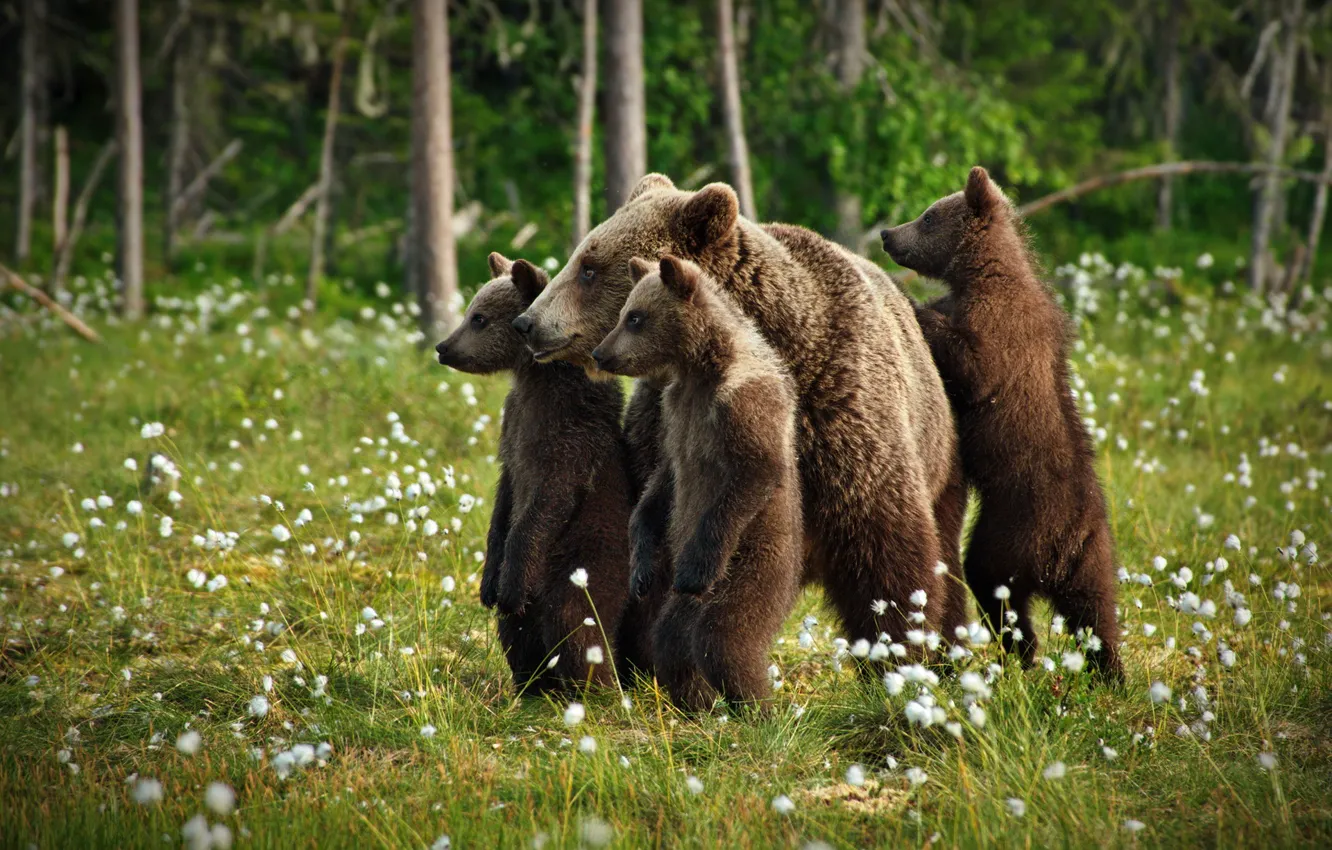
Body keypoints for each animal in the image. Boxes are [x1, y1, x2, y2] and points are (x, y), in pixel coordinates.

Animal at [434, 253, 641, 692]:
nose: (443, 347)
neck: (536, 377)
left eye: (478, 318)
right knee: (517, 629)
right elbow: (505, 499)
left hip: (586, 560)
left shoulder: (566, 434)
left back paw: (592, 685)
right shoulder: (513, 427)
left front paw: (509, 585)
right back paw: (530, 683)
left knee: (576, 621)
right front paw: (488, 586)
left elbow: (545, 502)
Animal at [510, 173, 967, 659]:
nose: (528, 322)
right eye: (581, 257)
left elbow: (885, 546)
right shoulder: (668, 425)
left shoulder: (841, 418)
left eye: (589, 268)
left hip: (942, 455)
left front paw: (901, 645)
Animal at [590, 255, 803, 710]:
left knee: (725, 635)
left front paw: (692, 565)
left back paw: (757, 706)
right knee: (670, 637)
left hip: (755, 561)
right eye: (624, 313)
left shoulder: (742, 403)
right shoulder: (677, 415)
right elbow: (662, 484)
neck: (701, 368)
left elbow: (752, 471)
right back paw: (697, 700)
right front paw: (640, 568)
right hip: (684, 606)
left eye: (635, 317)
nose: (601, 353)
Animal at [879, 165, 1123, 679]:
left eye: (928, 215)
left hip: (1013, 528)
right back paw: (1110, 674)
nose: (888, 233)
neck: (980, 274)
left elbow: (973, 364)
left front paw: (911, 301)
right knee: (1097, 613)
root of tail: (1064, 545)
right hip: (1096, 555)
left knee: (991, 582)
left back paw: (1023, 650)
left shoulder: (1002, 328)